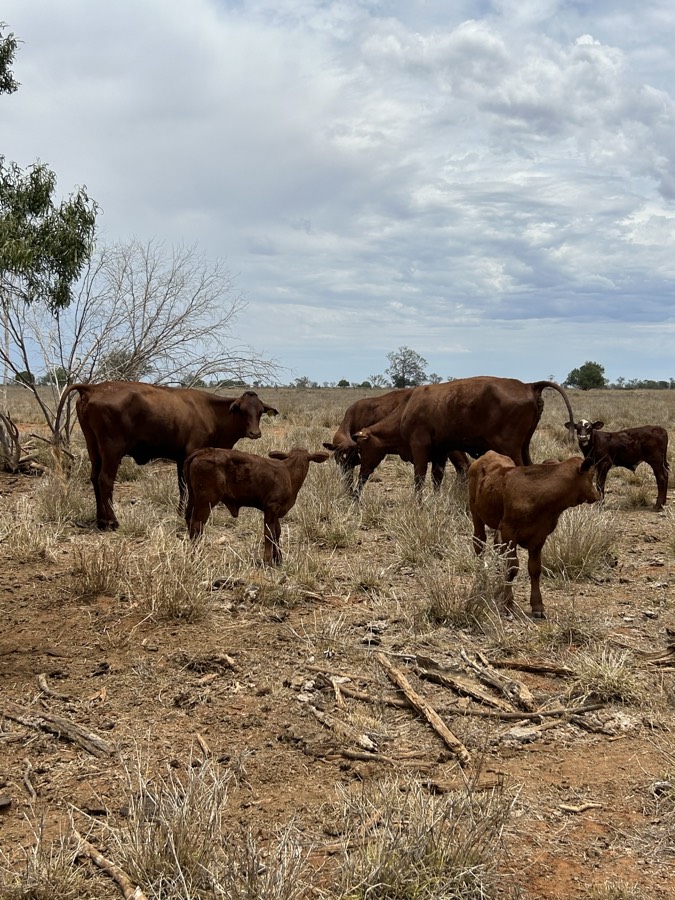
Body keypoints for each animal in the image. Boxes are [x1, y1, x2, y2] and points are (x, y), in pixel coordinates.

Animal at [54, 381, 278, 530]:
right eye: (242, 410)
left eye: (260, 411)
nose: (255, 433)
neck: (211, 412)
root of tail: (94, 387)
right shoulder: (192, 453)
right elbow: (188, 486)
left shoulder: (182, 459)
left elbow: (182, 486)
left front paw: (180, 512)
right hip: (112, 450)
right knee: (105, 480)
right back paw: (113, 521)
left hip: (93, 445)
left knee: (94, 478)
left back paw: (101, 520)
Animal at [184, 446, 329, 564]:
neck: (289, 473)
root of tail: (203, 452)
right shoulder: (271, 507)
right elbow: (269, 533)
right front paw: (267, 560)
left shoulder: (276, 512)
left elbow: (277, 532)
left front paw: (278, 558)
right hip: (206, 500)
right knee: (197, 526)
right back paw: (196, 557)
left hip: (193, 498)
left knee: (189, 520)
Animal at [353, 377, 576, 495]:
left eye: (362, 448)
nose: (361, 476)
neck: (406, 409)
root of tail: (529, 385)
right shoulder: (440, 451)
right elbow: (436, 478)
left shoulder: (419, 447)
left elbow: (419, 478)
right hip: (523, 446)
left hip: (510, 448)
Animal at [468, 451, 600, 618]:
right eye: (592, 474)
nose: (597, 494)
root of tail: (487, 454)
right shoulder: (509, 531)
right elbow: (511, 568)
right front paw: (508, 605)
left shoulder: (539, 536)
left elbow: (535, 569)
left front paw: (537, 606)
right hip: (476, 514)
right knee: (479, 544)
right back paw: (482, 581)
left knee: (497, 545)